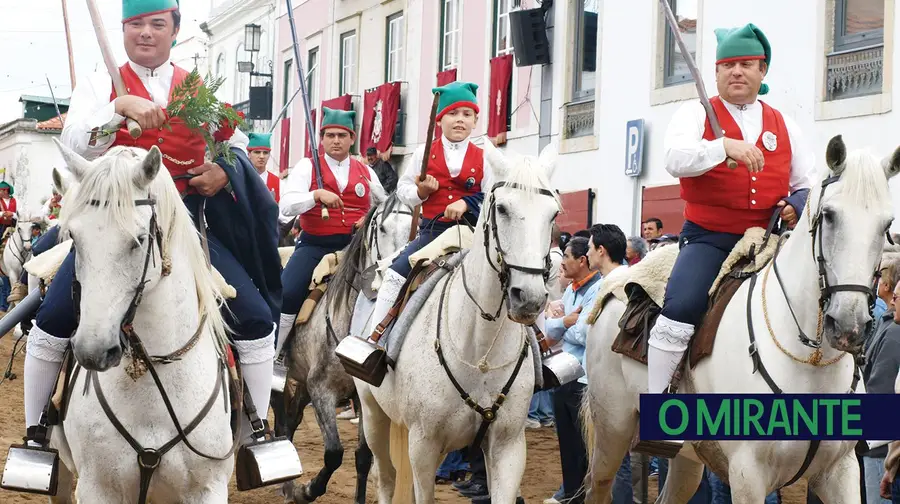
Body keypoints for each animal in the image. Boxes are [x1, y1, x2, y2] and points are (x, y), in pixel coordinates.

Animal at [354, 141, 560, 504]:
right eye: (502, 209)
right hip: (373, 415)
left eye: (554, 214)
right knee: (386, 478)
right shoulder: (423, 445)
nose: (530, 298)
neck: (480, 349)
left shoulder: (507, 447)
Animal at [580, 135, 896, 504]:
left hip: (686, 459)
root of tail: (617, 281)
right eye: (829, 216)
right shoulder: (748, 476)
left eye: (887, 225)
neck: (810, 363)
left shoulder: (840, 472)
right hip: (612, 432)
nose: (849, 326)